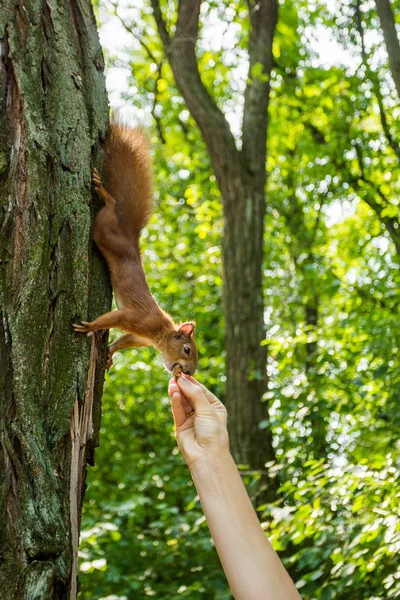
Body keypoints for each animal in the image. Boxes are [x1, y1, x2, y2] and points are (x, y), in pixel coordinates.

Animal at [72, 121, 198, 376]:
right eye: (187, 350)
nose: (190, 373)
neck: (160, 333)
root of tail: (131, 236)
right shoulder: (136, 319)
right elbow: (111, 319)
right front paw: (90, 326)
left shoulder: (138, 337)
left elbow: (124, 341)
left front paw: (110, 353)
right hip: (105, 232)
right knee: (110, 209)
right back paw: (105, 194)